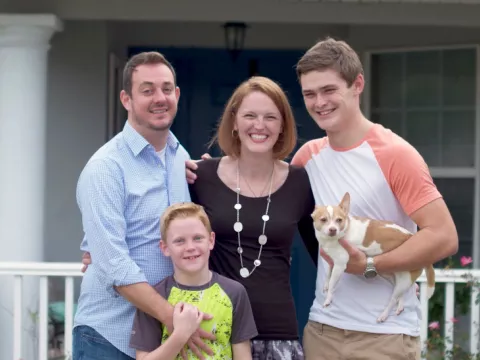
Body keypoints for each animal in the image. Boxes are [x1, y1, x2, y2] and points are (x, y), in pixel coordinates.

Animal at [312, 193, 436, 324]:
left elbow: (332, 282)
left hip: (403, 281)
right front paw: (325, 284)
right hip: (393, 277)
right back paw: (400, 306)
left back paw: (384, 315)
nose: (333, 229)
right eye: (323, 220)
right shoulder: (333, 261)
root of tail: (411, 236)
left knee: (393, 299)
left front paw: (328, 299)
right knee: (400, 295)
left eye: (339, 220)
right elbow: (328, 273)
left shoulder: (340, 264)